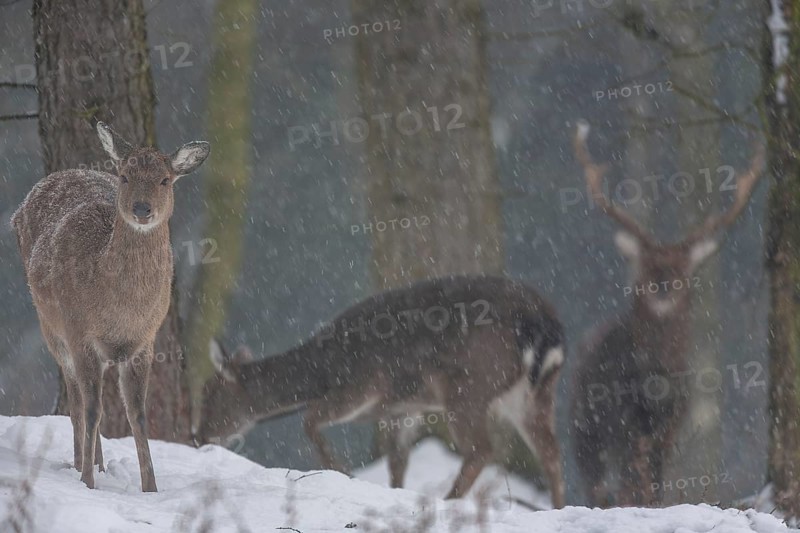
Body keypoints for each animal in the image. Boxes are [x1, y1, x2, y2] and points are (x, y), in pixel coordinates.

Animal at [11, 122, 210, 492]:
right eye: (125, 176)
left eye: (165, 179)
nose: (142, 209)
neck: (121, 312)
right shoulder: (80, 333)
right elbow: (92, 409)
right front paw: (87, 481)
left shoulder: (145, 342)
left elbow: (138, 414)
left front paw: (150, 487)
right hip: (51, 326)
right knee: (77, 401)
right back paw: (83, 466)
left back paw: (100, 466)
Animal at [194, 274, 566, 507]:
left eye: (209, 394)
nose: (198, 436)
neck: (320, 374)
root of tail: (545, 323)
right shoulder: (403, 407)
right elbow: (397, 461)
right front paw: (394, 492)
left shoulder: (363, 385)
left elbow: (309, 420)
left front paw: (342, 472)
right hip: (534, 392)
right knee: (550, 453)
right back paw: (556, 508)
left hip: (468, 385)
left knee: (482, 449)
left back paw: (449, 501)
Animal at [569, 120, 765, 507]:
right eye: (646, 266)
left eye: (681, 270)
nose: (662, 286)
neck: (655, 383)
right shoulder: (624, 424)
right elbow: (633, 486)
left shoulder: (671, 428)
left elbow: (655, 487)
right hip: (584, 430)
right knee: (596, 483)